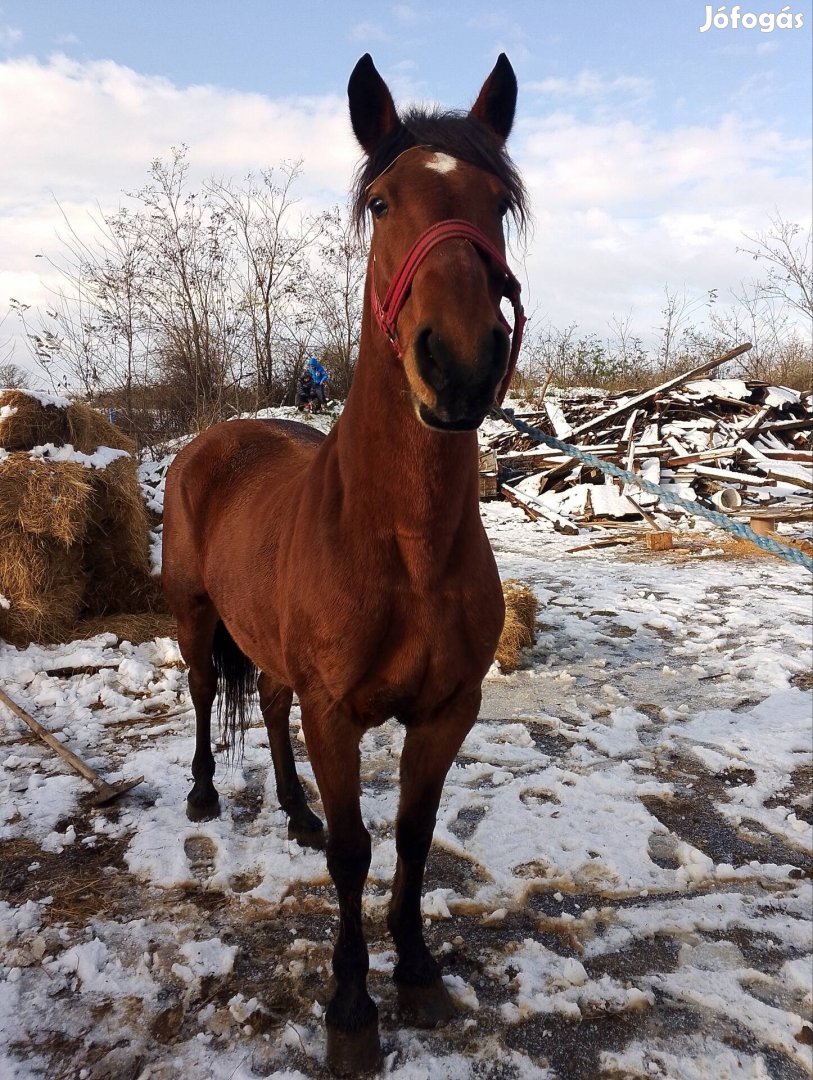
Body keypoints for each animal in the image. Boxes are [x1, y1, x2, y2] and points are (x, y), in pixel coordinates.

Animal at [163, 52, 529, 1071]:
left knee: (268, 704)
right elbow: (356, 853)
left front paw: (418, 972)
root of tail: (218, 440)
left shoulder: (446, 711)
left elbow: (410, 835)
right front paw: (353, 1009)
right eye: (381, 201)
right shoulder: (338, 713)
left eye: (498, 200)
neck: (403, 546)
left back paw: (293, 809)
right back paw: (205, 797)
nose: (459, 366)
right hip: (195, 619)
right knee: (207, 697)